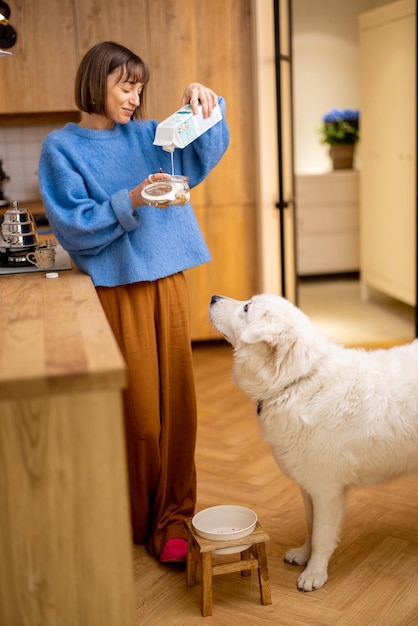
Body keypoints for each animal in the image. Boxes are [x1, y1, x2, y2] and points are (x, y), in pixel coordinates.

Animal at [209, 292, 418, 588]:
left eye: (247, 307)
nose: (213, 297)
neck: (296, 381)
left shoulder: (326, 491)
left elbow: (321, 535)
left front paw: (314, 573)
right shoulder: (308, 487)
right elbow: (311, 525)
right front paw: (303, 555)